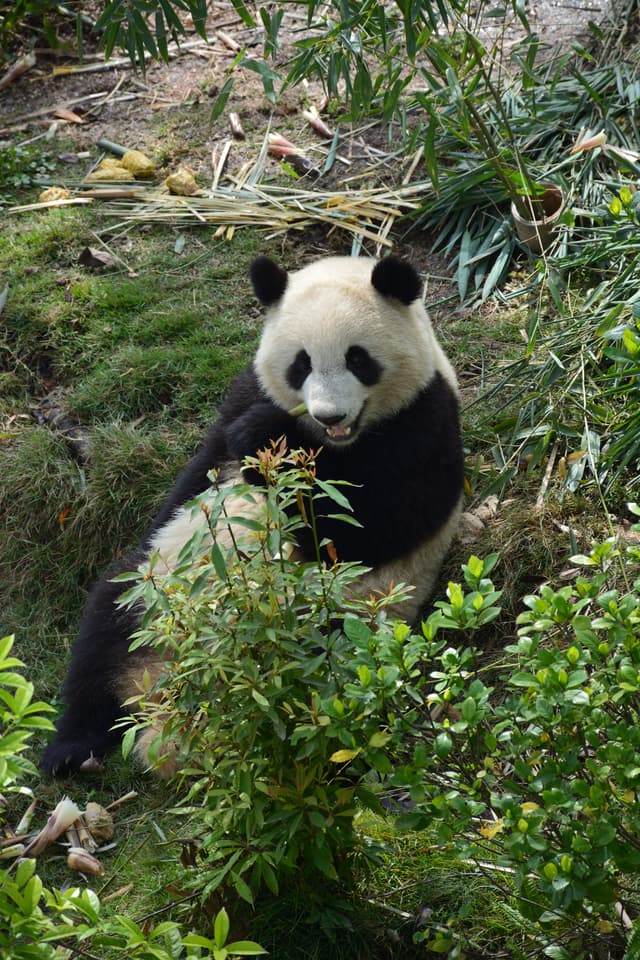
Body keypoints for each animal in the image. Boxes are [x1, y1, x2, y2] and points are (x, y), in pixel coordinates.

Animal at [41, 254, 464, 778]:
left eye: (358, 359)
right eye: (301, 363)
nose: (329, 415)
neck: (339, 441)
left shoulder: (424, 420)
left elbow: (370, 527)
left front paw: (271, 444)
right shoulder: (244, 395)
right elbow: (200, 476)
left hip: (331, 627)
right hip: (154, 588)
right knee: (104, 630)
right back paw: (74, 750)